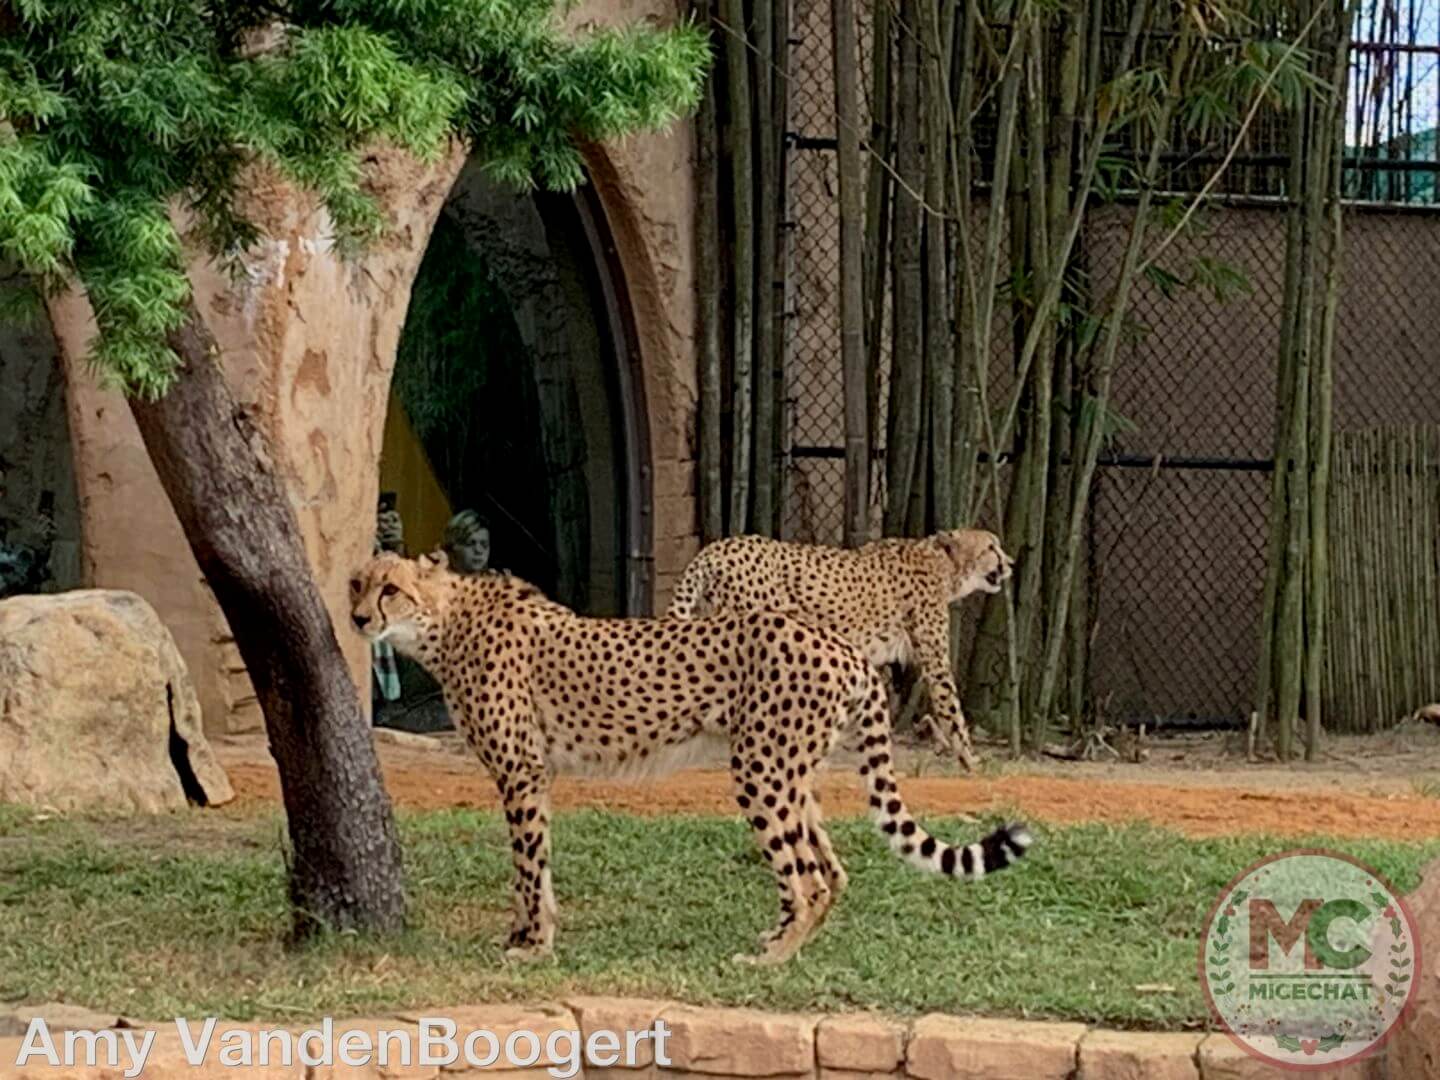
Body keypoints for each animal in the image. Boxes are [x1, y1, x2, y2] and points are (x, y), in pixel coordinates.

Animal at [662, 529, 1013, 771]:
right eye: (991, 547)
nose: (1010, 563)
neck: (945, 565)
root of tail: (716, 547)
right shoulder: (935, 661)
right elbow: (951, 706)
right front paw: (969, 758)